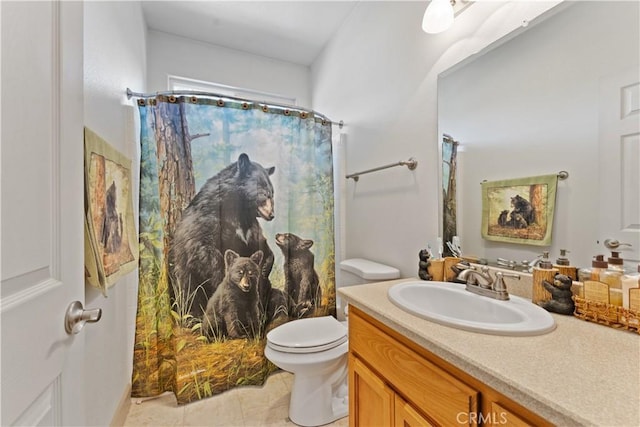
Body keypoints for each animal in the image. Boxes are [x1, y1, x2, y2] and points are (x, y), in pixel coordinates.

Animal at [169, 152, 284, 322]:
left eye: (272, 193)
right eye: (264, 193)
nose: (271, 214)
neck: (239, 211)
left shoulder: (251, 228)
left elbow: (263, 248)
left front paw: (262, 272)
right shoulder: (208, 220)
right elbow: (204, 252)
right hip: (185, 284)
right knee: (190, 297)